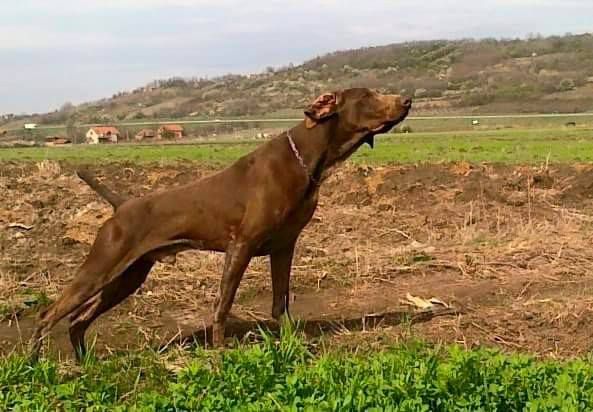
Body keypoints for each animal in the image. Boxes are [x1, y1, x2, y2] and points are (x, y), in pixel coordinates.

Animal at [31, 88, 412, 358]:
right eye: (367, 96)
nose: (407, 100)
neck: (306, 159)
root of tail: (120, 205)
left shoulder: (284, 247)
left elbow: (280, 302)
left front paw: (292, 342)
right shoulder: (240, 246)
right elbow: (223, 304)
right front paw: (219, 351)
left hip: (128, 277)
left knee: (77, 320)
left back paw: (85, 364)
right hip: (101, 268)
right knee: (48, 315)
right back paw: (36, 367)